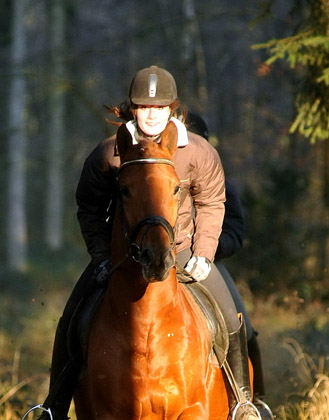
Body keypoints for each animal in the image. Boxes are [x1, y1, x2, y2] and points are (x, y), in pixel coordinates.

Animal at [73, 121, 229, 420]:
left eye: (176, 189)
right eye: (124, 190)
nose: (157, 257)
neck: (146, 325)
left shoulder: (192, 409)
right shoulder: (110, 413)